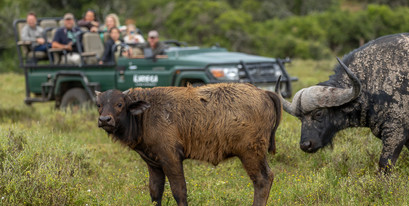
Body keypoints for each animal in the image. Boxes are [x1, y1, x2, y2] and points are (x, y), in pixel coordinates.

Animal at [95, 83, 280, 206]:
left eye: (120, 104)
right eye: (99, 105)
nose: (104, 120)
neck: (146, 113)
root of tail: (264, 92)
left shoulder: (171, 159)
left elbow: (179, 191)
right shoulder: (153, 164)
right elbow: (155, 192)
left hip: (251, 155)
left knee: (262, 180)